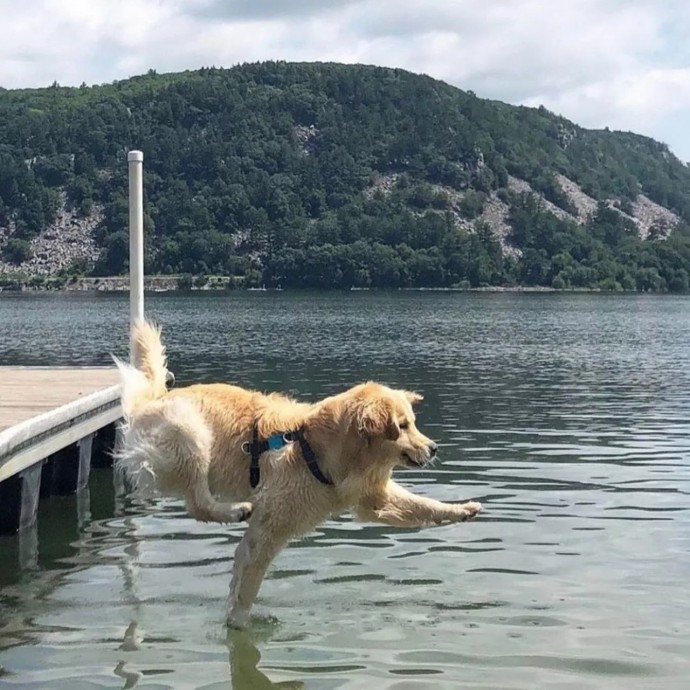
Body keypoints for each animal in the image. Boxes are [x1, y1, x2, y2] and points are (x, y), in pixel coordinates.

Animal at [115, 320, 482, 628]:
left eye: (413, 424)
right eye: (402, 426)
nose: (433, 448)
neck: (317, 452)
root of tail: (150, 401)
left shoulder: (370, 497)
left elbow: (421, 506)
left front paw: (461, 510)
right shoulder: (272, 524)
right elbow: (250, 575)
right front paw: (239, 622)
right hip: (190, 431)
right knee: (198, 503)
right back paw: (234, 510)